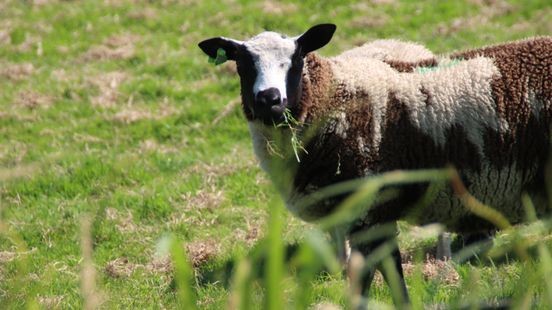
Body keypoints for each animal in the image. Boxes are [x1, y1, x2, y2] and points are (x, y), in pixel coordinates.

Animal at [198, 24, 552, 306]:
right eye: (241, 64)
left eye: (296, 60)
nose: (269, 100)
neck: (335, 101)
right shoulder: (367, 217)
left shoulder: (370, 211)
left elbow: (375, 284)